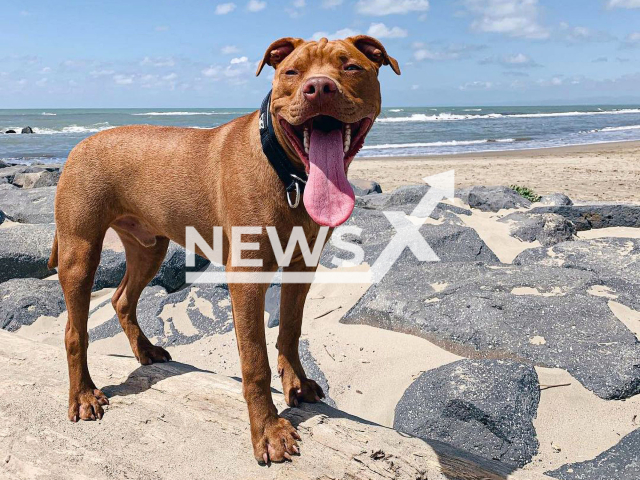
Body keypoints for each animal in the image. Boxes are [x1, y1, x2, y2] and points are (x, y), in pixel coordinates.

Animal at [50, 35, 398, 464]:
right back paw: (83, 395)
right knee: (74, 330)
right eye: (292, 72)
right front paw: (268, 431)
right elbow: (255, 362)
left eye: (350, 67)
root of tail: (79, 144)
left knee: (121, 299)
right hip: (80, 250)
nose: (319, 88)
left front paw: (297, 384)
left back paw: (145, 350)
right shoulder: (246, 279)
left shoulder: (302, 265)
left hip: (149, 247)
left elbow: (291, 330)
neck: (287, 172)